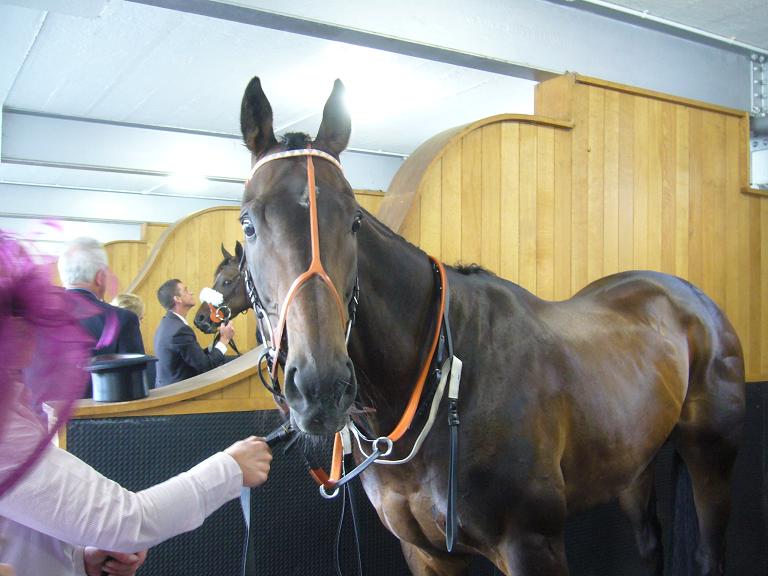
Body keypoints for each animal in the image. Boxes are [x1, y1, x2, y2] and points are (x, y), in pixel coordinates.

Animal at [238, 77, 744, 576]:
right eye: (247, 224)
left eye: (355, 221)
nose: (321, 386)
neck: (445, 378)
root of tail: (691, 296)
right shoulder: (427, 554)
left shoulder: (532, 546)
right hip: (633, 462)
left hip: (712, 456)